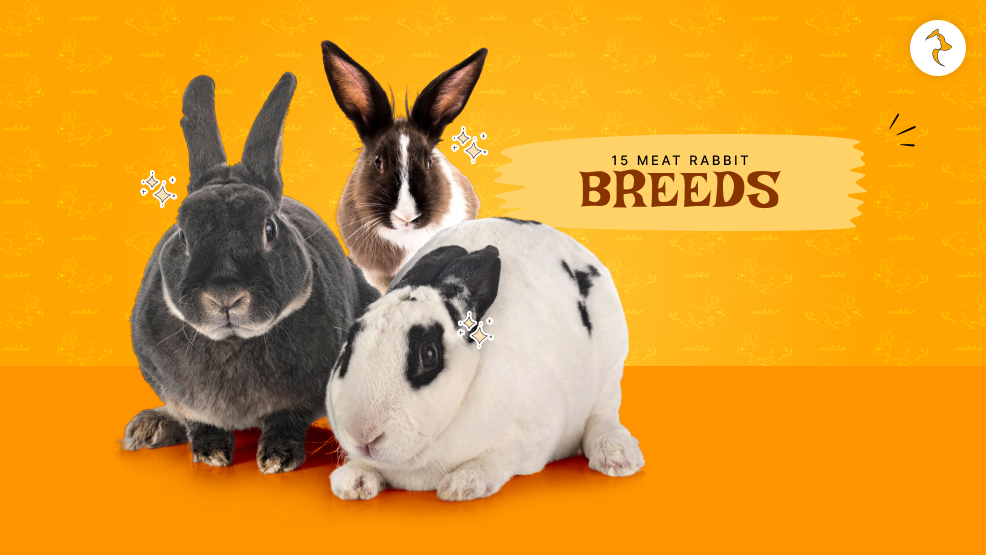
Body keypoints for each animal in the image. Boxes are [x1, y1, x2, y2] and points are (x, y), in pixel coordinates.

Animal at [122, 73, 380, 474]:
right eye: (183, 234)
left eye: (269, 228)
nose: (225, 295)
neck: (232, 342)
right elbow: (199, 422)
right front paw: (210, 454)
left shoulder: (301, 398)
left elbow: (286, 421)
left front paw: (277, 458)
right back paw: (150, 427)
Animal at [325, 217, 644, 501]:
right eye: (349, 343)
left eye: (429, 354)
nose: (363, 435)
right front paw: (352, 482)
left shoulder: (531, 437)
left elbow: (496, 458)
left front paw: (461, 486)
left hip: (611, 369)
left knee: (603, 415)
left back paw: (618, 459)